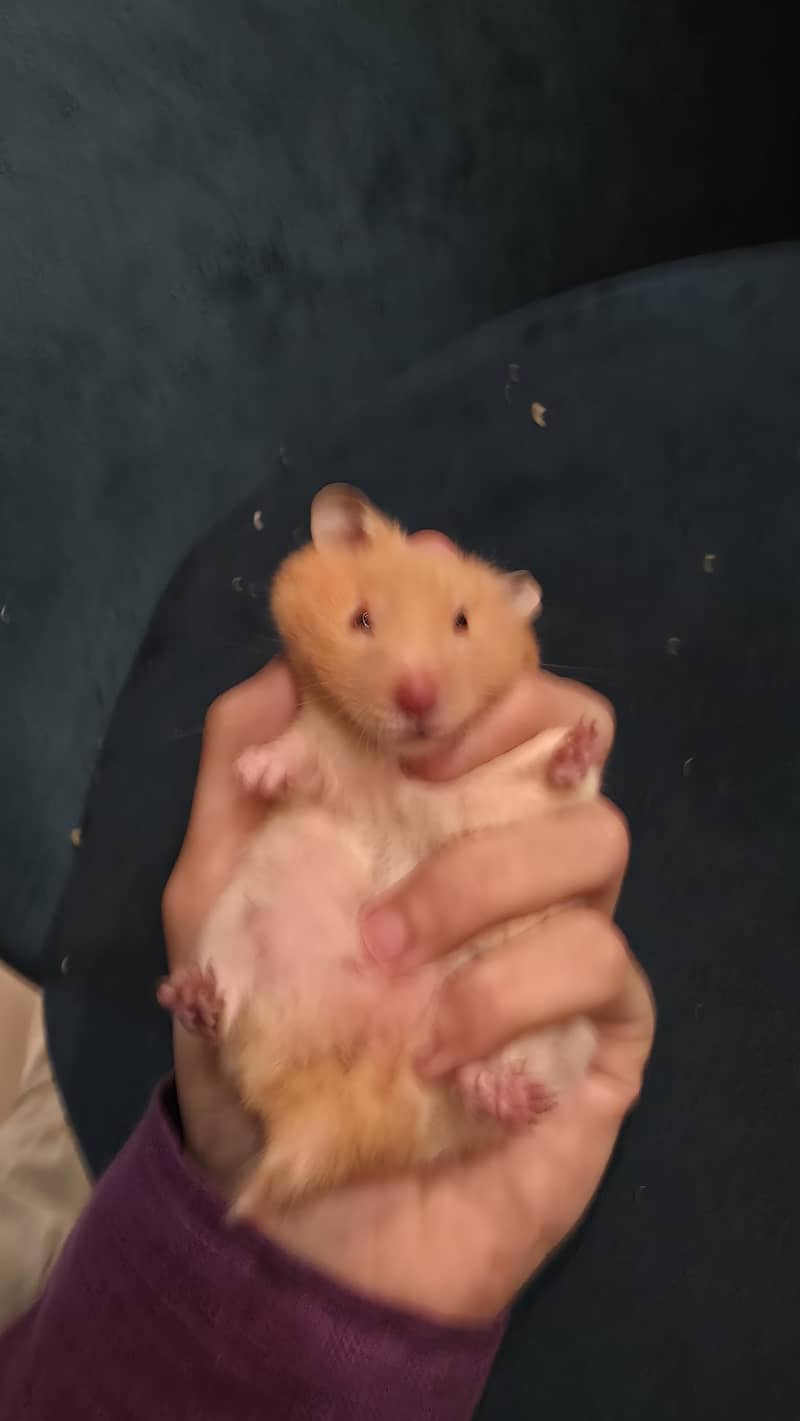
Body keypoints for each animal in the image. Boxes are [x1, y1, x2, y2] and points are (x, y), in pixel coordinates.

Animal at [158, 484, 602, 1216]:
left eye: (462, 622)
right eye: (362, 619)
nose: (417, 697)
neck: (397, 766)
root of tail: (324, 1121)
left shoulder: (514, 787)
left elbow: (553, 779)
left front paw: (582, 741)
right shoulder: (321, 747)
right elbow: (298, 755)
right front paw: (253, 772)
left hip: (546, 1037)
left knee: (468, 1090)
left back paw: (504, 1092)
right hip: (234, 927)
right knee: (226, 1021)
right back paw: (194, 995)